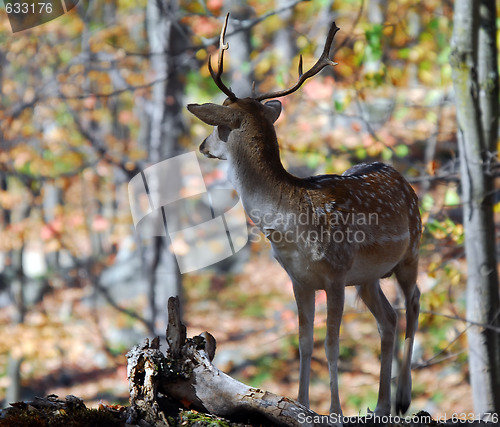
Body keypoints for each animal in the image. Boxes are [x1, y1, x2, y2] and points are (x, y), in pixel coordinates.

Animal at [188, 14, 422, 422]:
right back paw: (380, 405)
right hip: (368, 277)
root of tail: (404, 179)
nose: (203, 146)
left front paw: (335, 410)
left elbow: (331, 344)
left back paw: (403, 398)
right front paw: (300, 403)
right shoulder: (299, 279)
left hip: (411, 251)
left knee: (414, 303)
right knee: (389, 319)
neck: (290, 225)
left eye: (219, 124)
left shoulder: (336, 273)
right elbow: (305, 341)